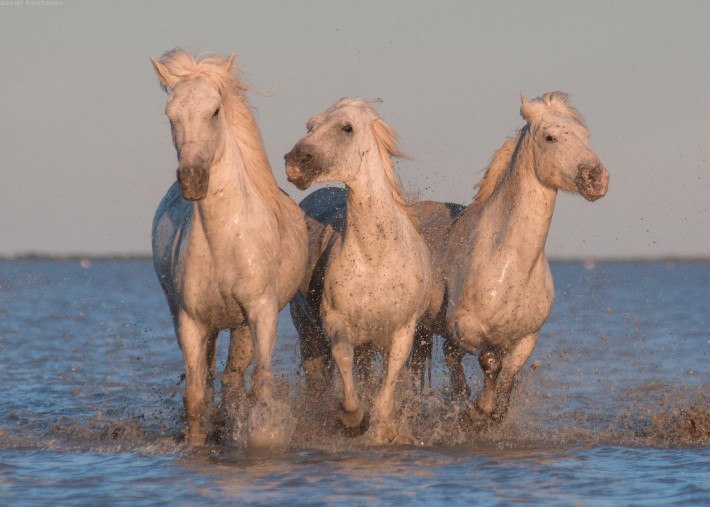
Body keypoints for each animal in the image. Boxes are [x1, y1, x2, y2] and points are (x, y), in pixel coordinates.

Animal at [149, 50, 308, 444]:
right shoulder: (191, 322)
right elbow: (195, 396)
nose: (192, 179)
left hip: (241, 325)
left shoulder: (261, 312)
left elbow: (260, 385)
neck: (227, 239)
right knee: (211, 379)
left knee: (233, 379)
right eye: (171, 114)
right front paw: (195, 442)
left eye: (215, 111)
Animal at [286, 98, 434, 444]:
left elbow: (386, 392)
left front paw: (384, 431)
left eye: (347, 128)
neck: (375, 259)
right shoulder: (335, 321)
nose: (296, 162)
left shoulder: (403, 333)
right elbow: (343, 358)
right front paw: (352, 420)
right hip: (309, 335)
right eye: (310, 125)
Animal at [414, 91, 608, 428]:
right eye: (550, 137)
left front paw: (487, 412)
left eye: (585, 135)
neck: (509, 261)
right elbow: (487, 360)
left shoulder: (526, 338)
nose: (596, 178)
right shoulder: (465, 325)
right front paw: (477, 410)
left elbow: (507, 379)